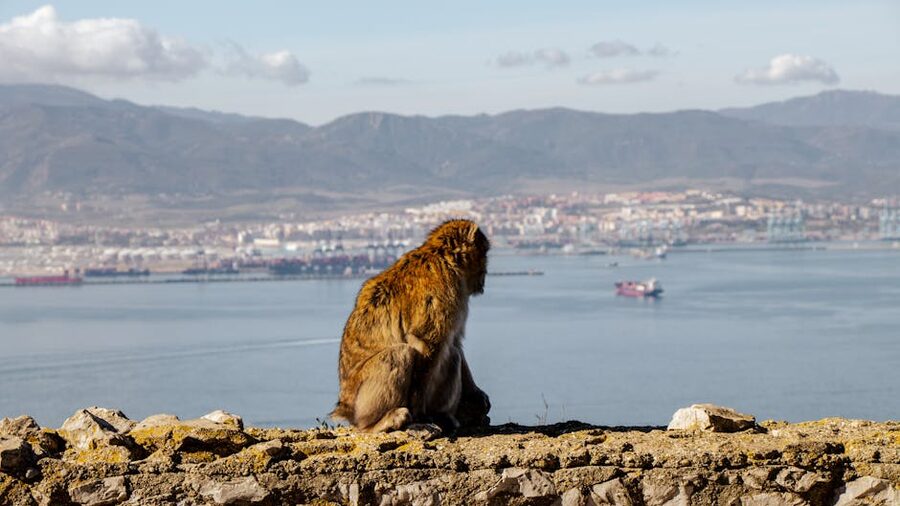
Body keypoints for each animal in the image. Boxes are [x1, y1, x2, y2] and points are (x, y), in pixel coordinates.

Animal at [331, 219, 491, 432]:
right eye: (484, 252)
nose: (486, 271)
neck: (445, 259)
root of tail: (345, 407)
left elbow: (455, 342)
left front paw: (475, 394)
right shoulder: (444, 295)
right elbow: (426, 343)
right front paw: (419, 413)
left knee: (452, 354)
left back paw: (443, 415)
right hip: (361, 401)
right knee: (400, 353)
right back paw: (378, 423)